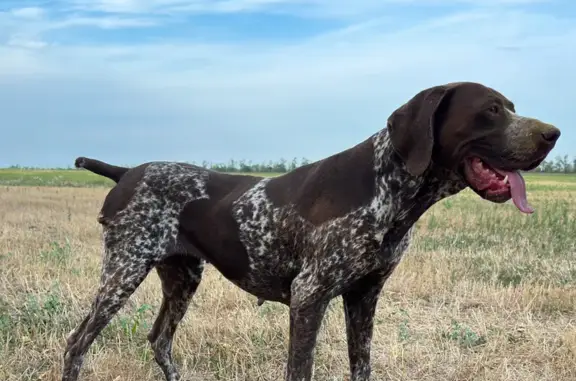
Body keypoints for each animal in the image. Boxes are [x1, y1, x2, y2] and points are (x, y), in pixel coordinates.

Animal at [62, 82, 560, 380]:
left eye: (512, 108)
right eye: (491, 110)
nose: (553, 133)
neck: (388, 188)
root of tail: (126, 171)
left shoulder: (364, 295)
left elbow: (362, 366)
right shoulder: (309, 296)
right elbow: (299, 369)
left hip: (183, 276)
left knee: (160, 340)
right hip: (123, 271)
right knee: (77, 344)